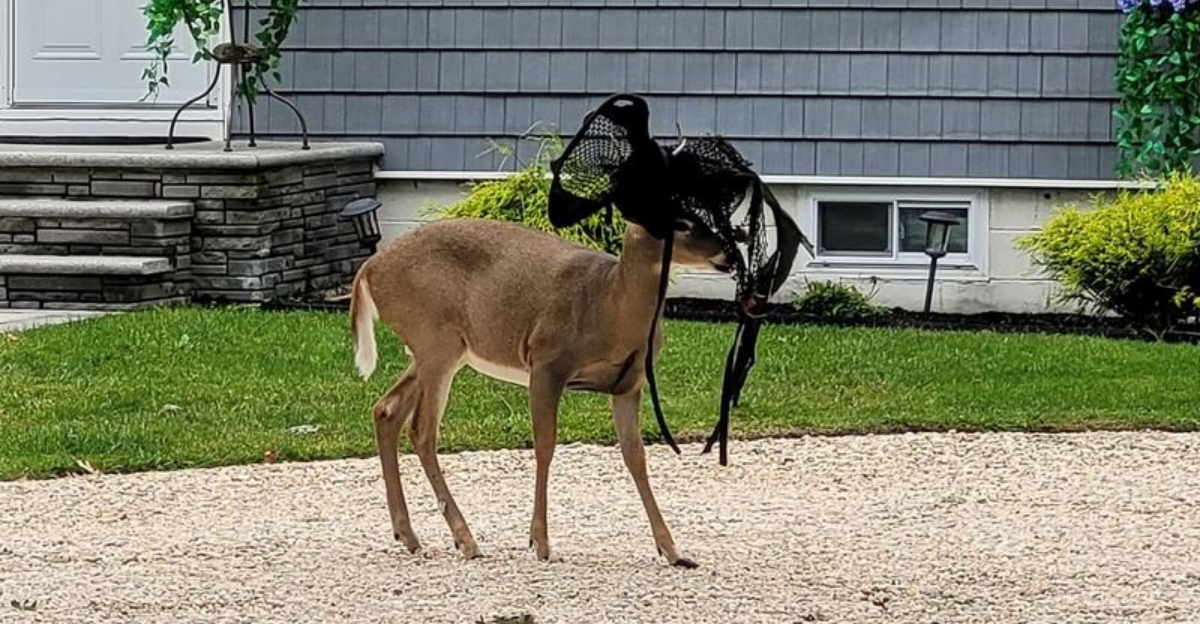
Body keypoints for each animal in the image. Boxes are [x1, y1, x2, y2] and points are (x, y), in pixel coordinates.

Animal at [349, 215, 736, 569]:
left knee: (386, 410)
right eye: (682, 222)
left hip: (439, 350)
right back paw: (466, 540)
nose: (728, 253)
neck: (611, 306)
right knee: (422, 431)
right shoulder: (546, 362)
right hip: (434, 338)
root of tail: (369, 268)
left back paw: (409, 537)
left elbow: (635, 456)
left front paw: (673, 550)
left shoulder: (629, 383)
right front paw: (541, 543)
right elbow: (546, 445)